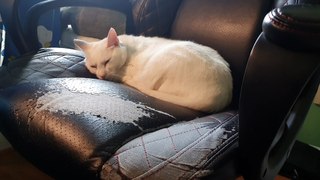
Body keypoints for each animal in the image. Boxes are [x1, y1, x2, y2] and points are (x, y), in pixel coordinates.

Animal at [73, 27, 231, 112]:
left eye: (107, 61)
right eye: (93, 66)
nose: (101, 75)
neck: (128, 49)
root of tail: (219, 96)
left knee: (144, 83)